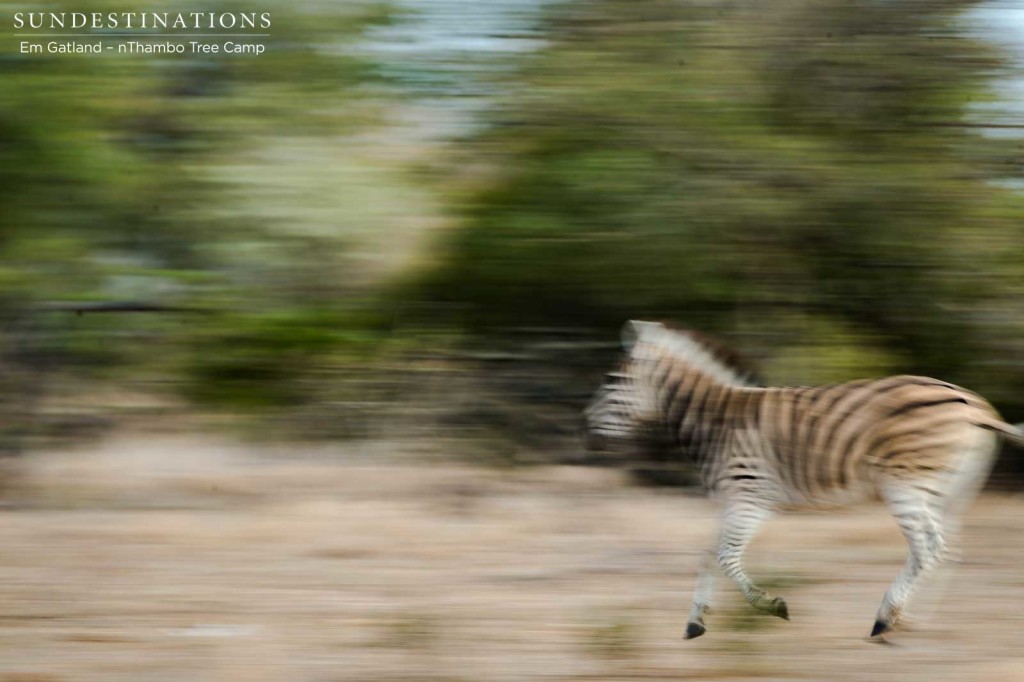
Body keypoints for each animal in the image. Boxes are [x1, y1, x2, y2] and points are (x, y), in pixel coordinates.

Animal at [585, 319, 1024, 638]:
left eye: (610, 381)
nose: (586, 430)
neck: (718, 422)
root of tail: (976, 406)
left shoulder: (751, 497)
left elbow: (727, 557)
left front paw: (773, 606)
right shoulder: (730, 500)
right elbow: (708, 555)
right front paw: (695, 623)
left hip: (905, 486)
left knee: (929, 548)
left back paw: (885, 619)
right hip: (949, 492)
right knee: (949, 550)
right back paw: (914, 619)